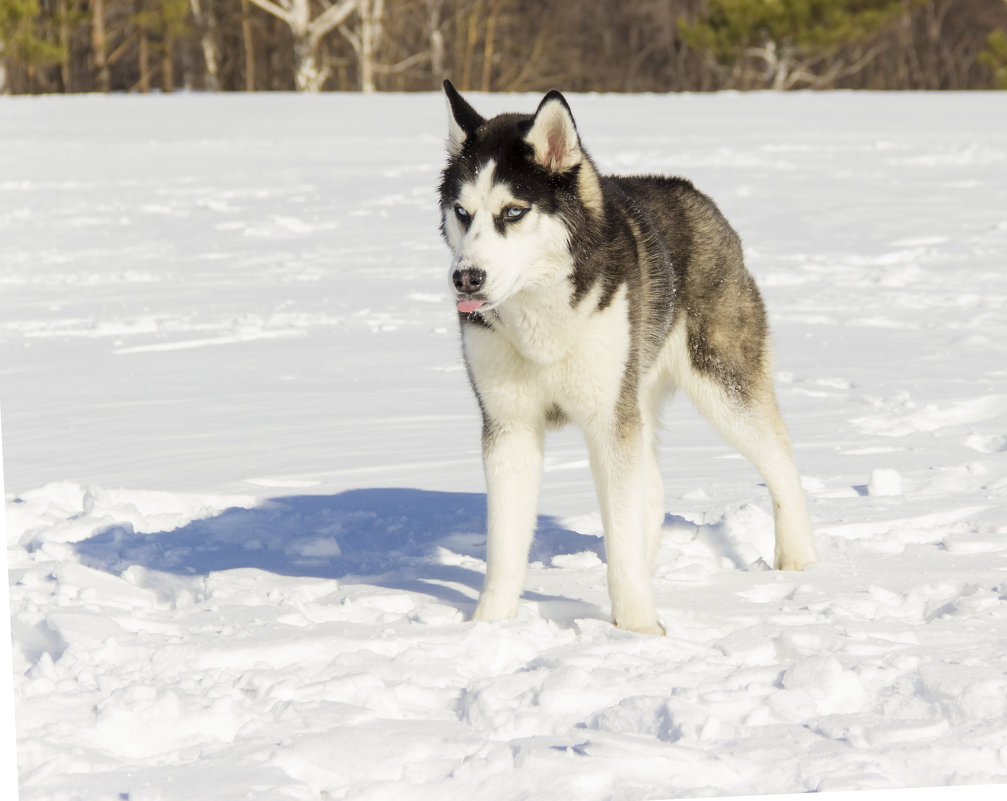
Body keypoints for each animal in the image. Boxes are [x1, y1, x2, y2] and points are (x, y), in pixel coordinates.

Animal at [441, 80, 817, 632]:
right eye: (462, 213)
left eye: (513, 211)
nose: (466, 278)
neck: (541, 316)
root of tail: (693, 193)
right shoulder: (509, 426)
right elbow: (506, 545)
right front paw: (487, 628)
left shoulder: (607, 420)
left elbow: (621, 533)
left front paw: (638, 629)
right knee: (652, 491)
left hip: (723, 387)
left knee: (782, 464)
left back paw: (798, 559)